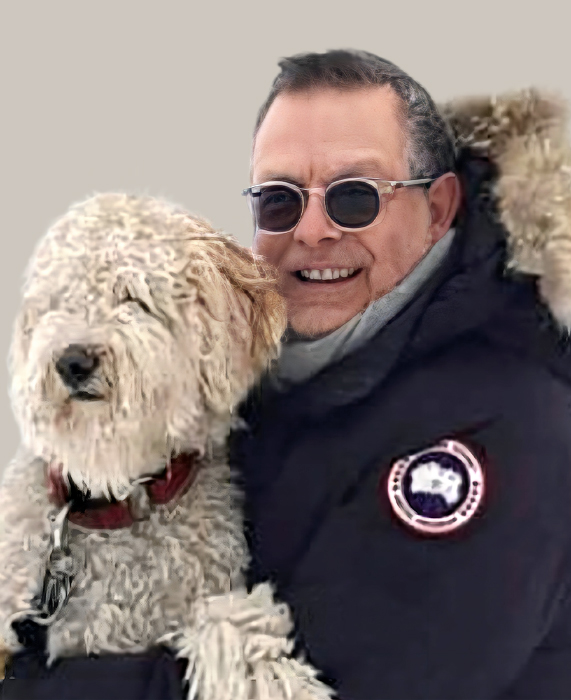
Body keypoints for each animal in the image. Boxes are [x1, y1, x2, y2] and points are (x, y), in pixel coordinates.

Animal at [0, 193, 332, 700]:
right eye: (57, 303)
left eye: (134, 298)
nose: (72, 360)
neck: (111, 505)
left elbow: (229, 623)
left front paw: (270, 673)